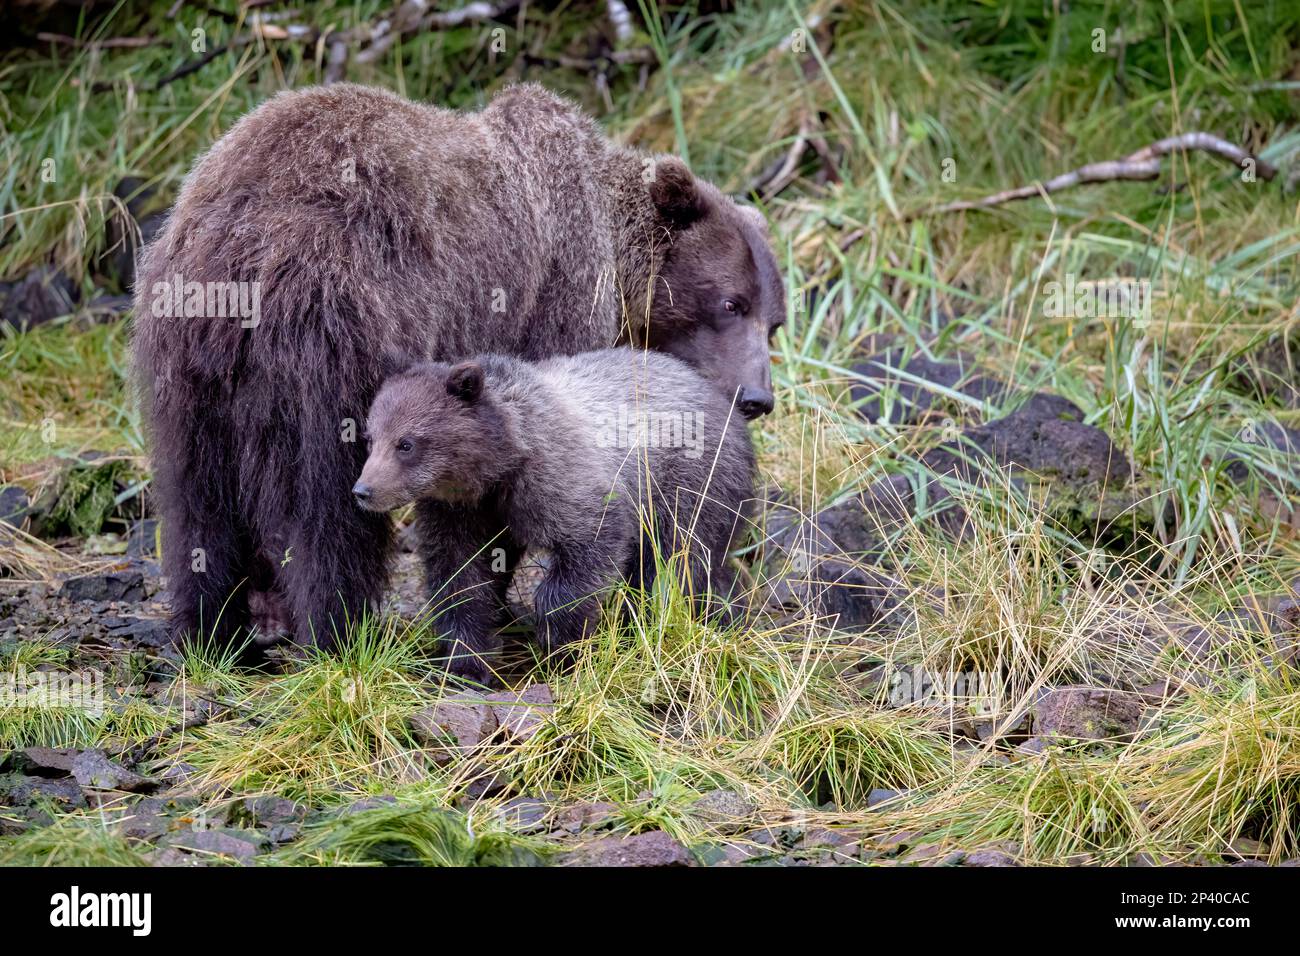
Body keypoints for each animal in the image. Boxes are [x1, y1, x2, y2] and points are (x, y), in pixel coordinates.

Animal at [353, 347, 756, 681]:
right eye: (370, 438)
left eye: (406, 443)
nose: (363, 491)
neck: (498, 469)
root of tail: (723, 402)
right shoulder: (458, 511)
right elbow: (459, 575)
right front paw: (467, 661)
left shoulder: (561, 482)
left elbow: (588, 549)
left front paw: (560, 643)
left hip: (691, 484)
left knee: (675, 562)